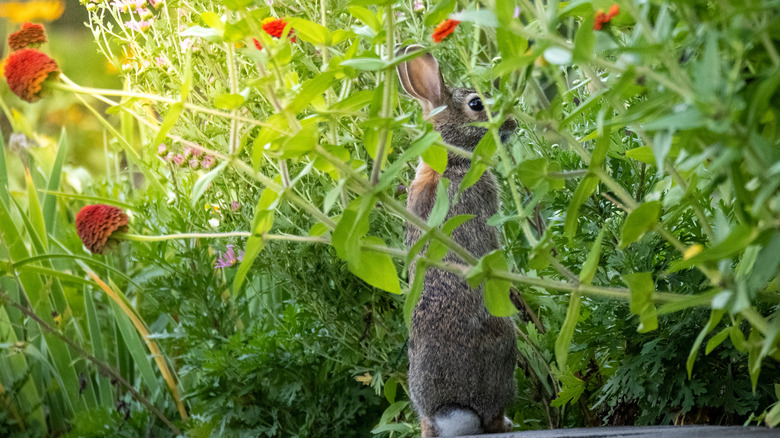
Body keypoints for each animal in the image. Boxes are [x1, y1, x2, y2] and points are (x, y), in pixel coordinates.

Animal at [396, 45, 516, 438]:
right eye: (476, 104)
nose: (511, 123)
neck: (448, 158)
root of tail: (445, 412)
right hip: (503, 347)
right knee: (492, 416)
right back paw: (505, 422)